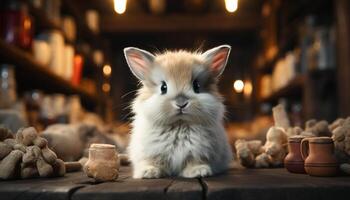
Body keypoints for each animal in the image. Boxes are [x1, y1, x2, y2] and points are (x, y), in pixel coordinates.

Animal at [124, 45, 234, 178]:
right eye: (163, 88)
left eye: (196, 86)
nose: (181, 103)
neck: (179, 124)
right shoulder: (151, 152)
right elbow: (152, 161)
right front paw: (148, 172)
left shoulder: (199, 152)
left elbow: (195, 161)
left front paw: (199, 171)